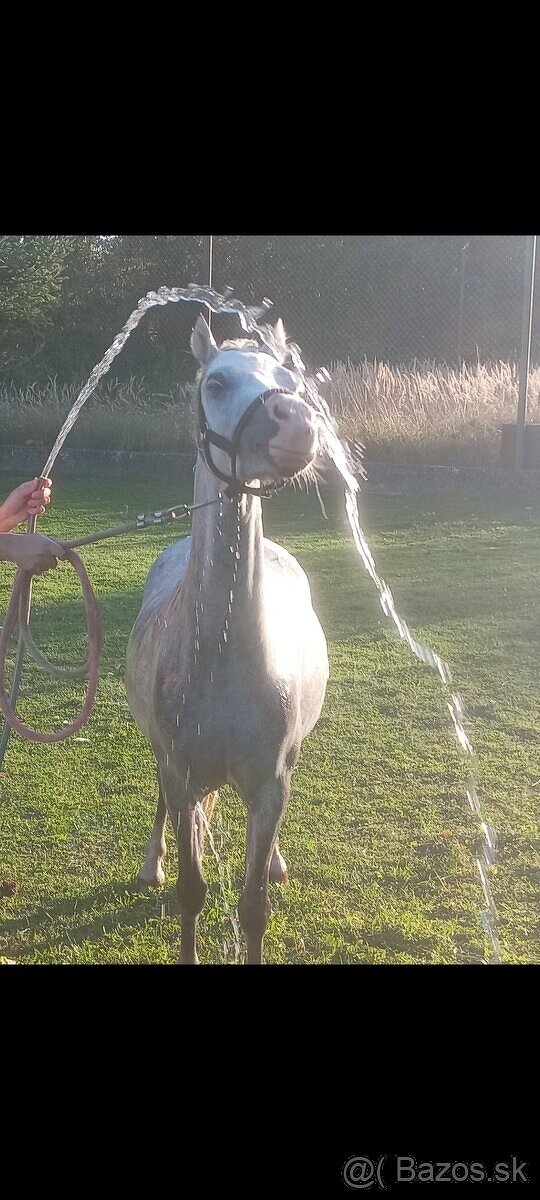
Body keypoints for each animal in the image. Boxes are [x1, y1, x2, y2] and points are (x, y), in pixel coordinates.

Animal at [125, 314, 329, 963]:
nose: (299, 425)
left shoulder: (270, 783)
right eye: (215, 382)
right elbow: (192, 892)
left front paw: (267, 874)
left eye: (290, 377)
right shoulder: (181, 773)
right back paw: (151, 864)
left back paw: (277, 861)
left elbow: (253, 906)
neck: (225, 660)